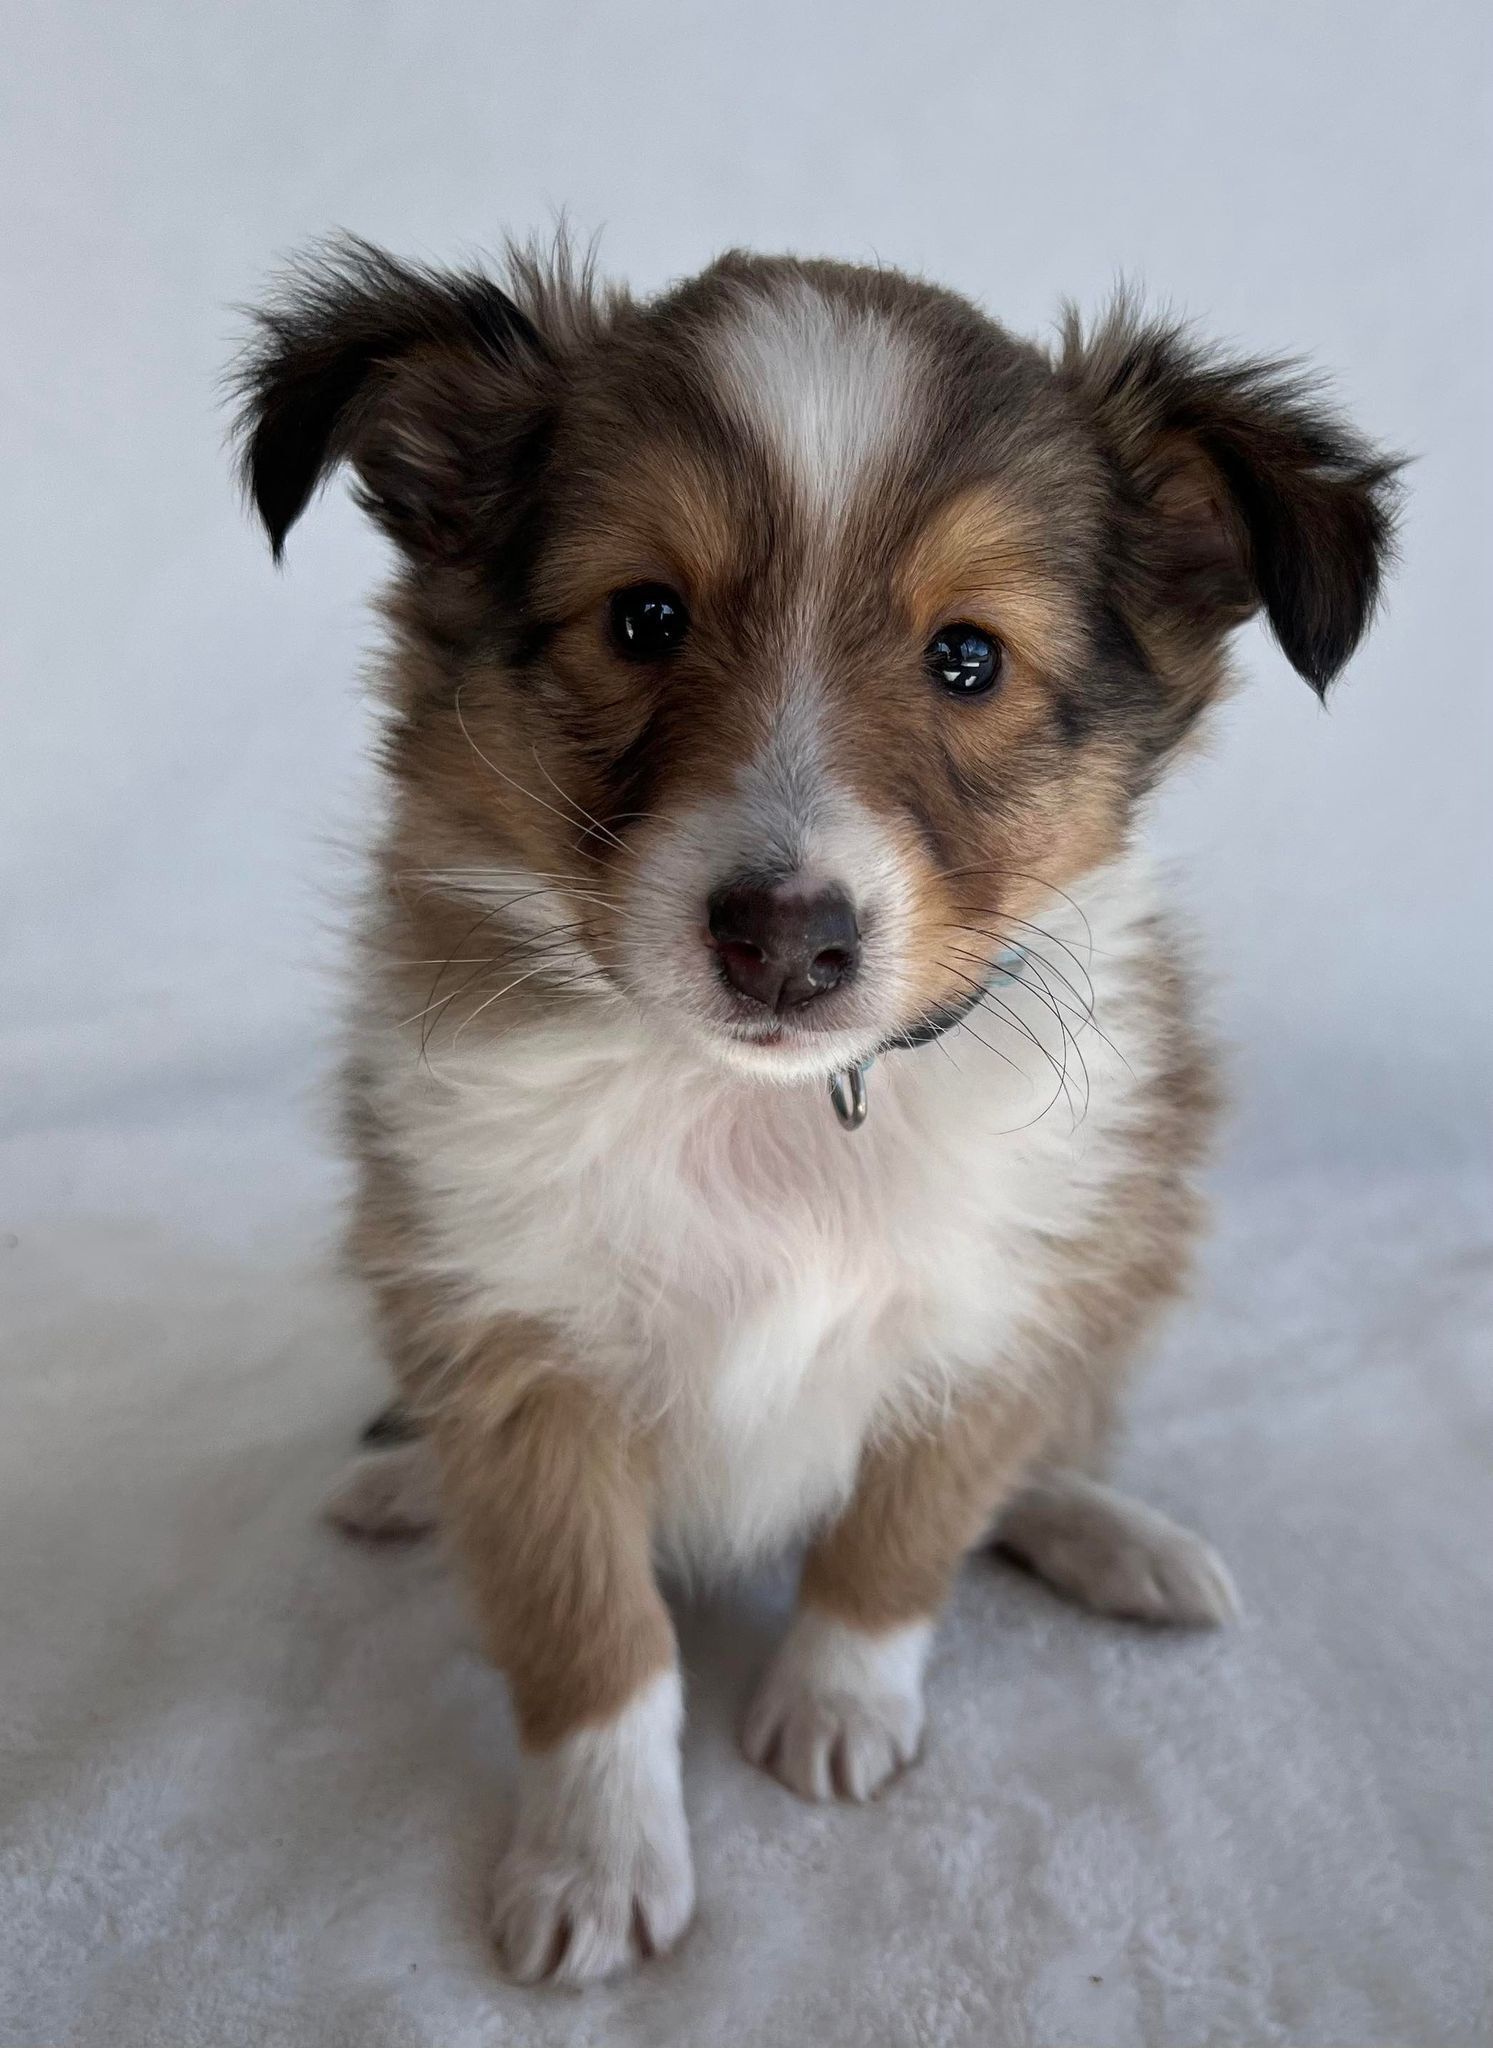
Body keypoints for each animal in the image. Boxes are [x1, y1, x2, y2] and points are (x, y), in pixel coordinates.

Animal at [233, 239, 1400, 1982]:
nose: (784, 942)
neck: (771, 1113)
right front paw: (594, 1861)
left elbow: (904, 1536)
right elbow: (588, 1627)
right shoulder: (511, 1334)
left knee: (1053, 1447)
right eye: (644, 616)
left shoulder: (995, 1309)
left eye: (967, 658)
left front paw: (835, 1711)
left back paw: (1122, 1542)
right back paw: (401, 1483)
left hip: (1136, 1256)